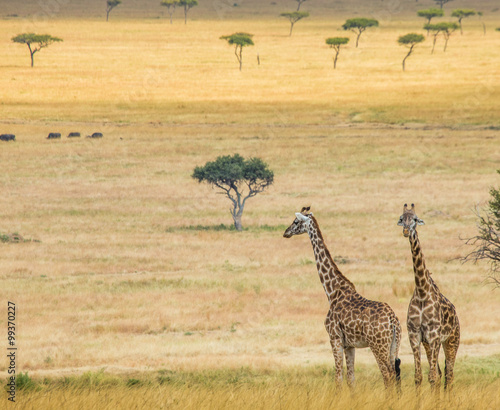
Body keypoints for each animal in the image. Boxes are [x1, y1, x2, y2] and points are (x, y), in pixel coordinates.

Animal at [284, 208, 400, 390]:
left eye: (296, 222)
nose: (286, 232)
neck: (332, 292)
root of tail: (392, 320)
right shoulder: (349, 344)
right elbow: (351, 379)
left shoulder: (334, 338)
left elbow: (338, 378)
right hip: (394, 344)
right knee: (394, 375)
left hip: (378, 345)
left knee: (387, 375)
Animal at [396, 203, 458, 392]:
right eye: (401, 218)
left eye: (415, 219)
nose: (406, 231)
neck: (422, 291)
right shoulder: (415, 335)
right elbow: (419, 377)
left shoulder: (434, 335)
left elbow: (431, 377)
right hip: (430, 344)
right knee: (440, 373)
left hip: (452, 341)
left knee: (449, 375)